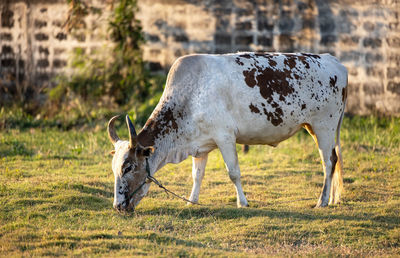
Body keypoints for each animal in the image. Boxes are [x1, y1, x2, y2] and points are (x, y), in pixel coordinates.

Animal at [108, 52, 348, 212]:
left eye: (128, 167)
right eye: (114, 168)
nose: (118, 206)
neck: (188, 98)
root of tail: (334, 61)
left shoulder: (225, 137)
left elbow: (233, 172)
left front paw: (243, 202)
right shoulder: (199, 145)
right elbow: (197, 175)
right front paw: (192, 200)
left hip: (324, 127)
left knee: (328, 162)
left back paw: (322, 201)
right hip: (315, 128)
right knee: (333, 159)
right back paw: (332, 199)